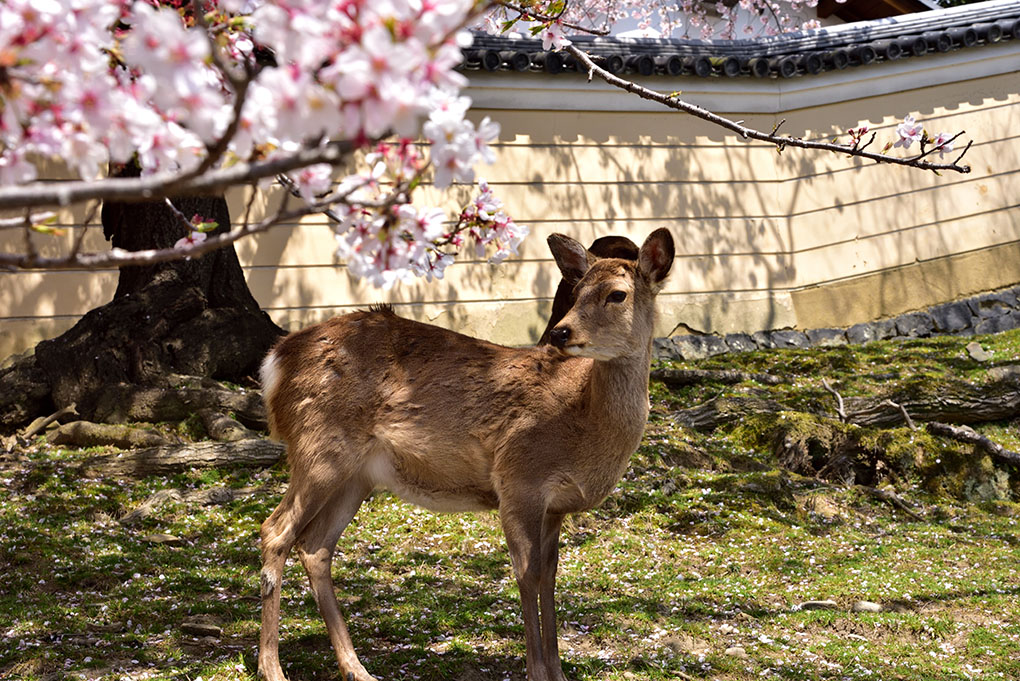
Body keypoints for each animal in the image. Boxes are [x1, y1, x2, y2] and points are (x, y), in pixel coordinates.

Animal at [259, 228, 677, 681]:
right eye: (578, 290)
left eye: (617, 294)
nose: (561, 333)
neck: (583, 419)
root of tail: (275, 360)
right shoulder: (519, 479)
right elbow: (527, 575)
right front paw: (536, 672)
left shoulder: (555, 506)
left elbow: (550, 577)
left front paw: (558, 672)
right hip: (318, 446)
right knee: (275, 531)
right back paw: (272, 667)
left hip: (356, 475)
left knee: (315, 546)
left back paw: (356, 669)